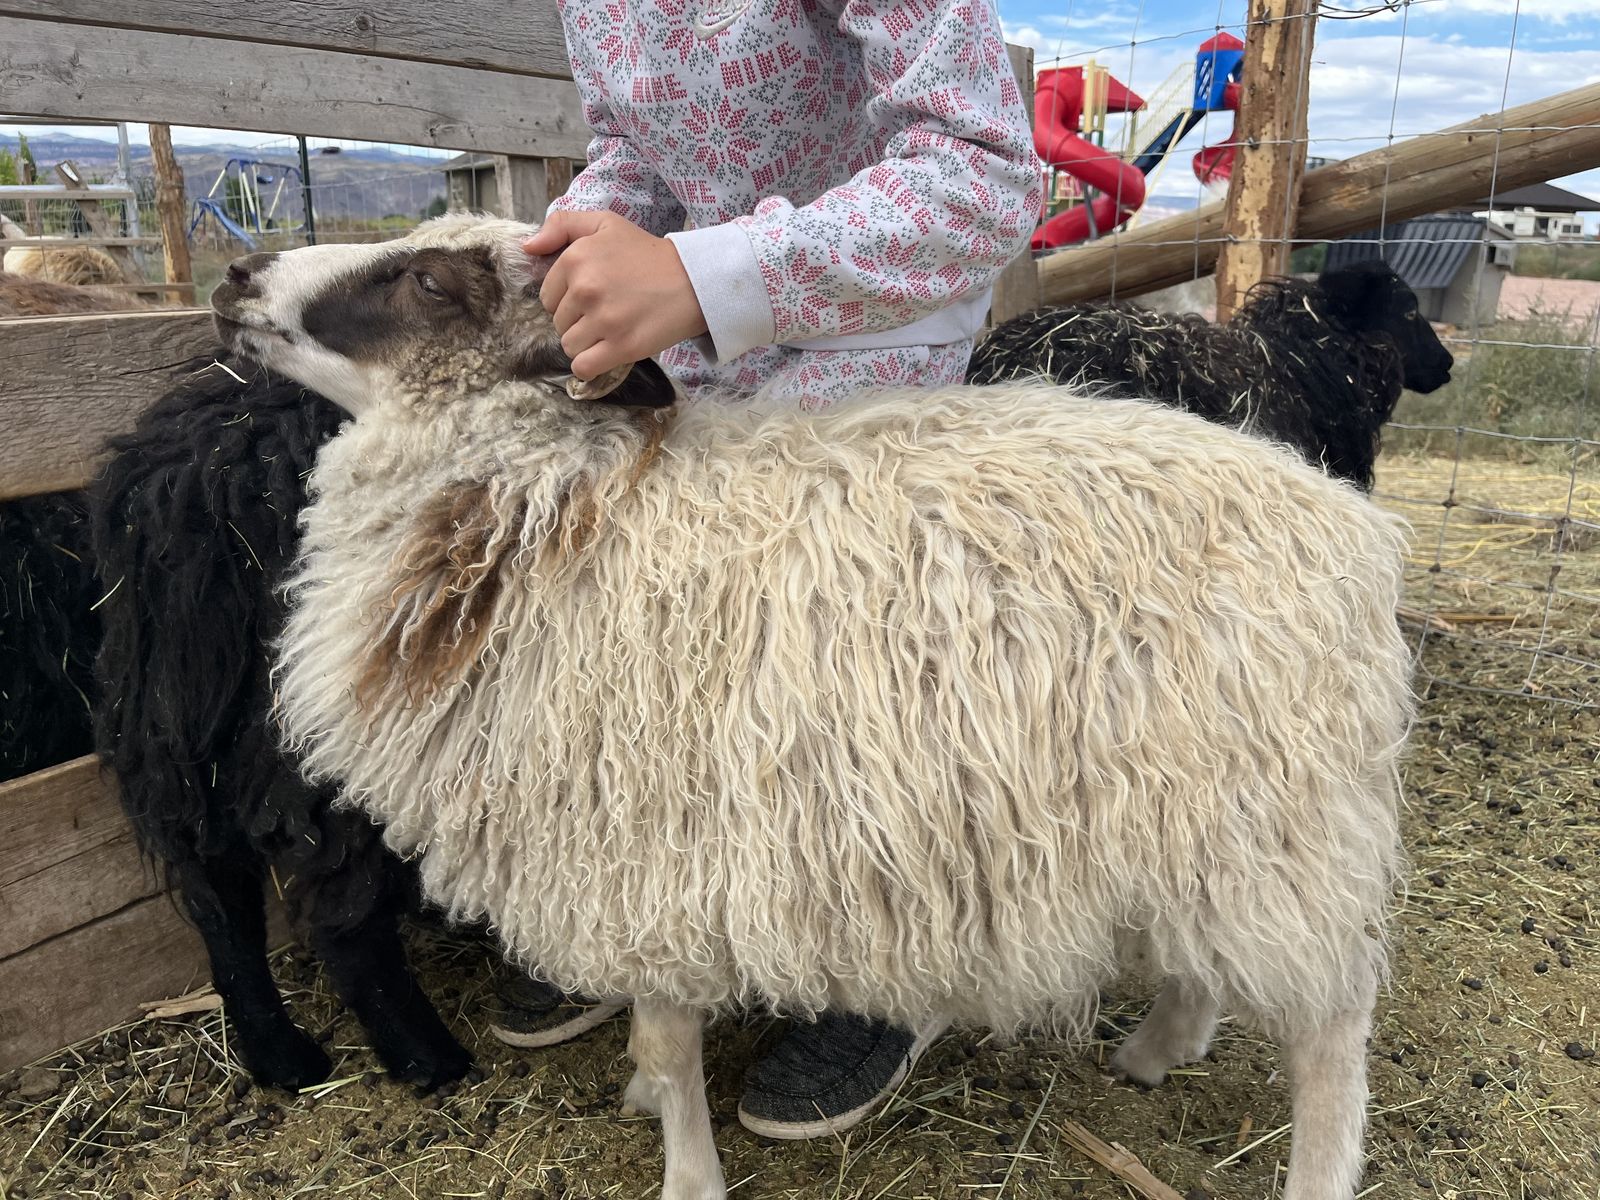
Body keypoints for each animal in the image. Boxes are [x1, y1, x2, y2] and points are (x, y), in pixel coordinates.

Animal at [88, 355, 472, 1091]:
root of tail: (212, 472)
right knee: (340, 909)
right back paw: (428, 1057)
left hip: (181, 718)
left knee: (219, 890)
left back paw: (278, 1055)